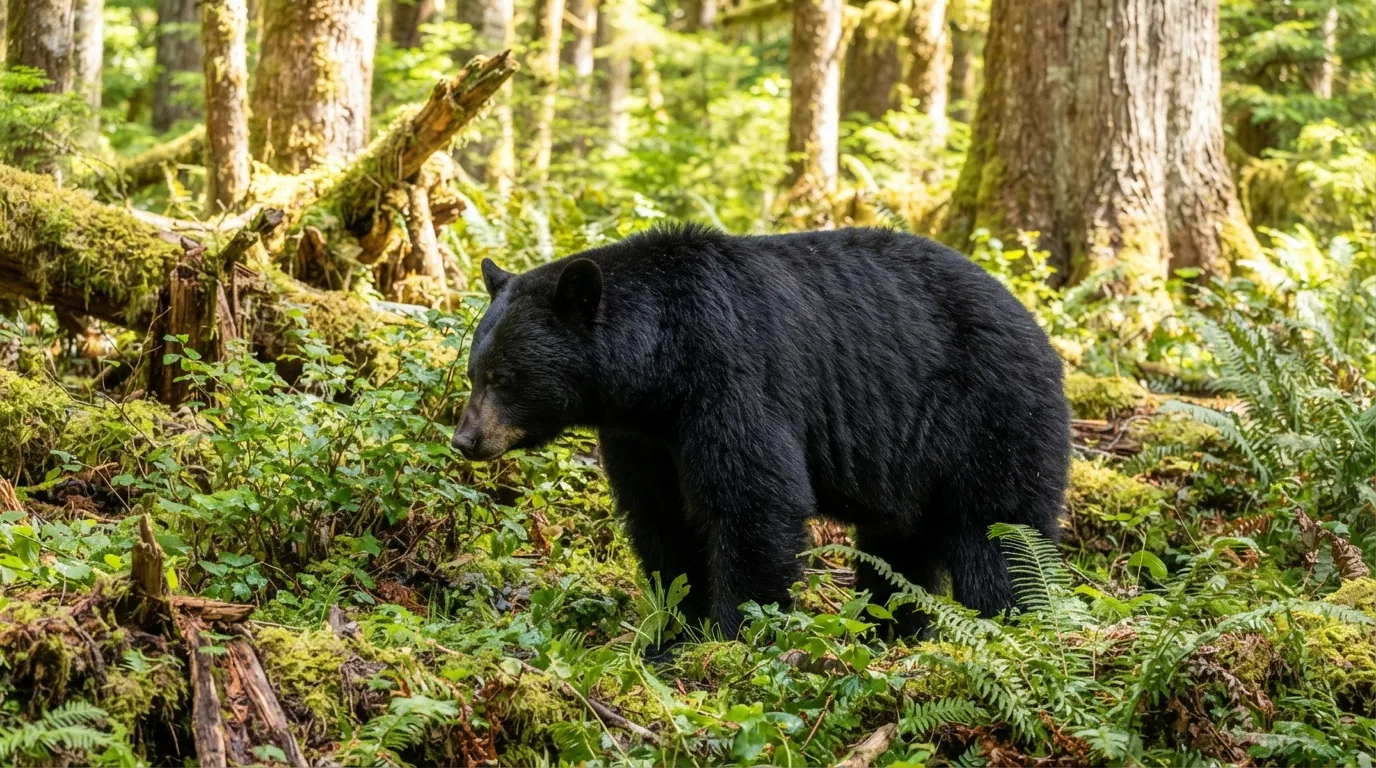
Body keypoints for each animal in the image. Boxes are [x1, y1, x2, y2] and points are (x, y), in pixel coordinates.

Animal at [452, 225, 1070, 639]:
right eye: (475, 371)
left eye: (505, 377)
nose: (465, 440)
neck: (659, 369)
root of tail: (1037, 326)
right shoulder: (644, 437)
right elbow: (661, 516)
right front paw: (677, 626)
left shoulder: (732, 375)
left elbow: (752, 499)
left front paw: (733, 634)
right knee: (899, 547)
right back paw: (893, 629)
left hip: (989, 415)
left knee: (1000, 533)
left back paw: (1011, 625)